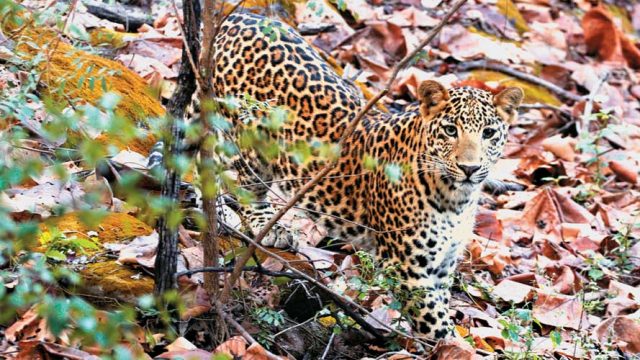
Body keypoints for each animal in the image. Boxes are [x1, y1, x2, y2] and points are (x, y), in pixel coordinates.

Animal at [194, 9, 520, 338]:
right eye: (451, 130)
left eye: (489, 133)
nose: (470, 168)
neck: (457, 198)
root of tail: (238, 15)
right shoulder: (409, 272)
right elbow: (439, 330)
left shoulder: (442, 267)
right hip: (245, 144)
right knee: (226, 174)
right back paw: (257, 223)